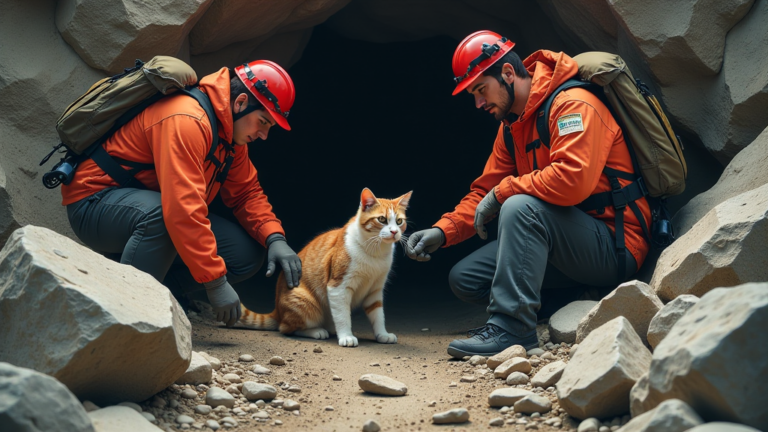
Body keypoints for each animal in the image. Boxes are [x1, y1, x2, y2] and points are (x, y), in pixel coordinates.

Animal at [240, 187, 412, 346]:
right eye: (382, 219)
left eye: (399, 222)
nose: (394, 232)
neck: (376, 252)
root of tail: (277, 311)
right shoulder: (338, 286)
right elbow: (343, 316)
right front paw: (346, 336)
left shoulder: (375, 290)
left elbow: (378, 315)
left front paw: (382, 334)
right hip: (305, 303)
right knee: (286, 328)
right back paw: (317, 331)